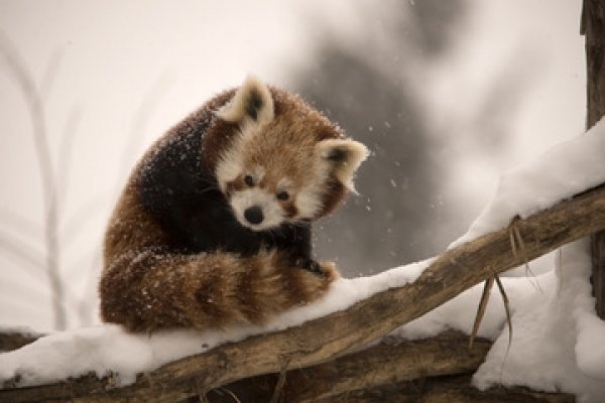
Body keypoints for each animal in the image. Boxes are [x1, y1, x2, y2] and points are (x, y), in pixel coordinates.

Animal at [99, 76, 368, 334]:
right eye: (248, 178)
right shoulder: (176, 171)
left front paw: (303, 259)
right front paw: (257, 248)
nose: (253, 214)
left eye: (284, 195)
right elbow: (195, 219)